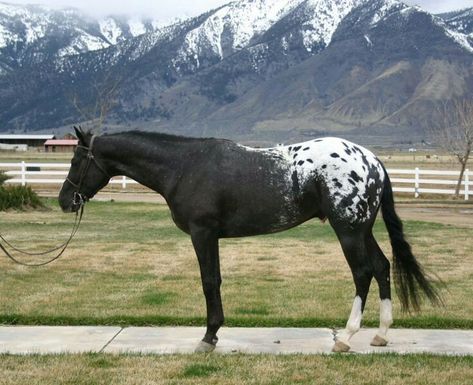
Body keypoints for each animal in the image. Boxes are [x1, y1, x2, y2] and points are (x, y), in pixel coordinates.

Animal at [58, 128, 438, 352]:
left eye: (76, 160)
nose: (65, 200)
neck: (183, 166)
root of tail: (373, 161)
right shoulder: (209, 236)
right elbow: (214, 280)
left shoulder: (203, 233)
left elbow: (209, 281)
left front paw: (208, 337)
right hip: (362, 230)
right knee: (382, 267)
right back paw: (381, 334)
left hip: (348, 231)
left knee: (363, 273)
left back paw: (345, 338)